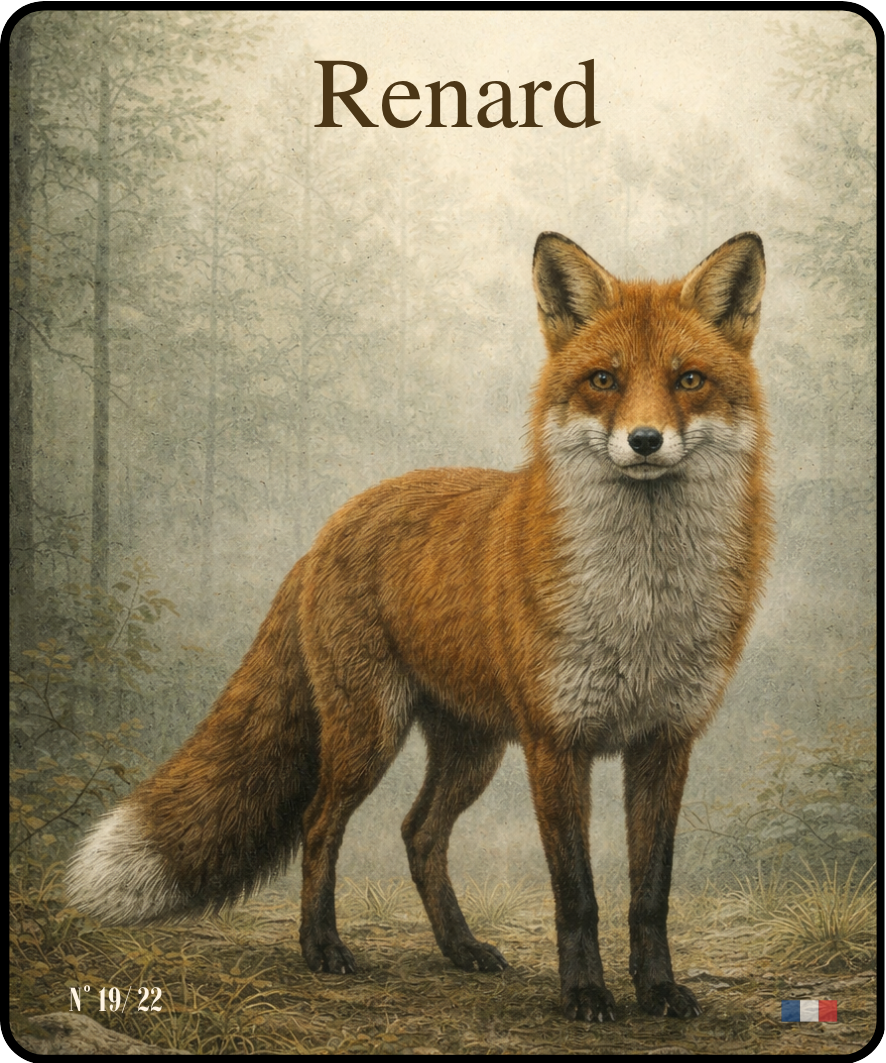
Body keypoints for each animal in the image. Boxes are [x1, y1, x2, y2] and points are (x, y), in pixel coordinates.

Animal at [68, 231, 771, 1022]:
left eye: (689, 380)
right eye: (603, 380)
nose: (645, 440)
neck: (643, 602)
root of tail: (329, 528)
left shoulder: (666, 741)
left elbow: (651, 895)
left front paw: (658, 991)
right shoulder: (556, 742)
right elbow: (578, 895)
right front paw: (586, 993)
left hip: (473, 747)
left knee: (419, 833)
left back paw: (460, 948)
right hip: (371, 732)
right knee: (320, 822)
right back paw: (322, 947)